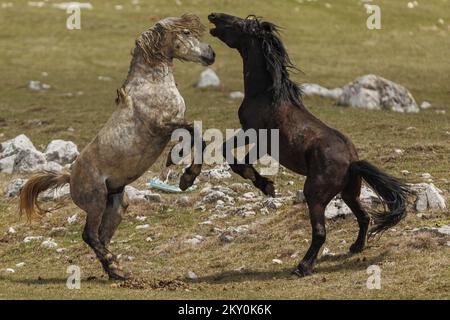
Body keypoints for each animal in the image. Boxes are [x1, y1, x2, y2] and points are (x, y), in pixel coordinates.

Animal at [21, 15, 216, 280]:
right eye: (186, 32)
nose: (211, 53)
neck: (150, 85)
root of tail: (70, 176)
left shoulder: (172, 125)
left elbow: (193, 135)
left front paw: (176, 162)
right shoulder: (163, 125)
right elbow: (196, 132)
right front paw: (186, 177)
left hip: (115, 206)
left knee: (102, 238)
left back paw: (117, 270)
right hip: (96, 202)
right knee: (89, 235)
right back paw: (115, 268)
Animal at [207, 13, 412, 276]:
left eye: (239, 24)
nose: (214, 16)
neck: (266, 95)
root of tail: (352, 162)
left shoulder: (254, 134)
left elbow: (230, 155)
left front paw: (264, 184)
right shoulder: (260, 141)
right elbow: (236, 156)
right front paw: (265, 184)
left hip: (314, 195)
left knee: (321, 233)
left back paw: (302, 266)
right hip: (349, 193)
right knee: (364, 217)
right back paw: (355, 247)